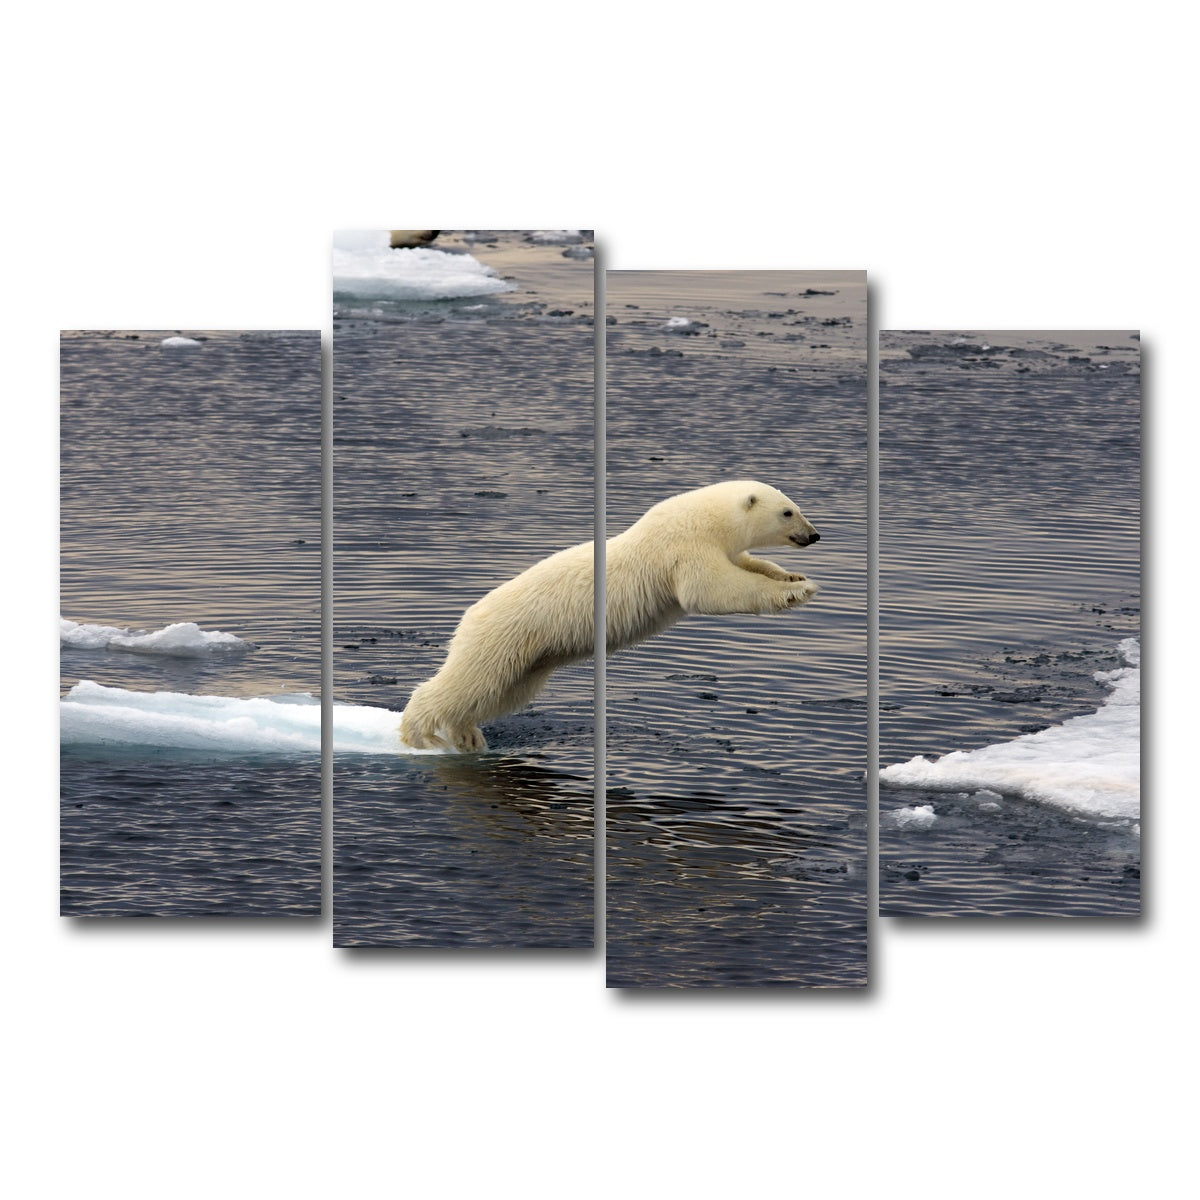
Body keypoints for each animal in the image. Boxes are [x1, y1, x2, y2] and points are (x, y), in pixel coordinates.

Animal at [398, 480, 820, 752]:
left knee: (500, 692)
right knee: (469, 682)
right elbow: (714, 589)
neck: (704, 518)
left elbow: (749, 564)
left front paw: (793, 576)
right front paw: (794, 592)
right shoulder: (683, 548)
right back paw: (420, 735)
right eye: (788, 512)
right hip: (505, 636)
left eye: (798, 507)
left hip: (531, 658)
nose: (814, 535)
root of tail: (470, 615)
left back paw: (466, 735)